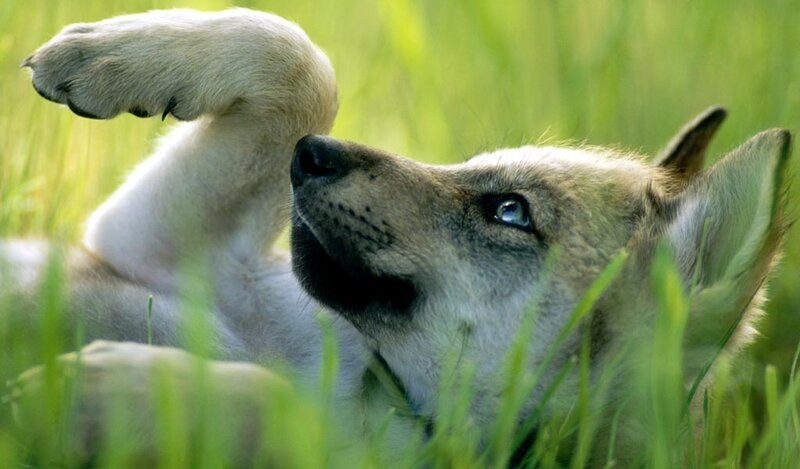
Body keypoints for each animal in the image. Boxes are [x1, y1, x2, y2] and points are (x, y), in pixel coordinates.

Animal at [1, 8, 792, 466]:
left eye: (510, 212)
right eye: (473, 167)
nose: (310, 156)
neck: (372, 383)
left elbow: (280, 410)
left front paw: (115, 392)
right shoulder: (149, 244)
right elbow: (297, 55)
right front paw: (102, 55)